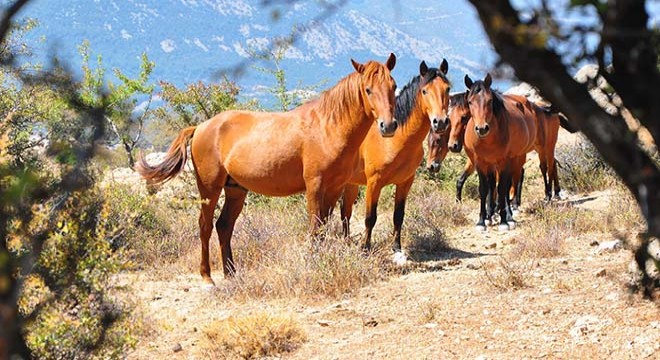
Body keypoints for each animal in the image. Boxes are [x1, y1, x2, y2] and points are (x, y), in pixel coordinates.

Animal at [135, 54, 398, 284]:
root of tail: (200, 127)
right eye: (368, 89)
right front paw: (314, 266)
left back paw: (232, 274)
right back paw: (208, 276)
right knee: (205, 226)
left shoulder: (334, 189)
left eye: (393, 87)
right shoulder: (315, 186)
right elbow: (314, 229)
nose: (388, 125)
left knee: (223, 226)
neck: (327, 127)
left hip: (235, 190)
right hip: (209, 189)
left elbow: (323, 228)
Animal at [340, 59, 454, 250]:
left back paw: (346, 241)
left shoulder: (405, 182)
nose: (440, 122)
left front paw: (396, 246)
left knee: (345, 212)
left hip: (351, 184)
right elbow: (370, 217)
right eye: (424, 91)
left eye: (447, 88)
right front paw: (365, 248)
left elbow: (398, 216)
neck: (395, 140)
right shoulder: (374, 183)